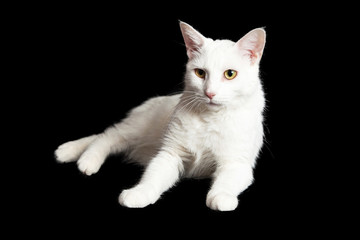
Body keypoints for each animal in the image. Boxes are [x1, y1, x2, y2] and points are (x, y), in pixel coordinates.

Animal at [55, 21, 264, 211]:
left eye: (230, 74)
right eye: (200, 73)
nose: (210, 93)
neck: (209, 119)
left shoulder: (237, 163)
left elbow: (227, 182)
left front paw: (221, 198)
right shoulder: (170, 154)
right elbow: (153, 177)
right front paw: (139, 193)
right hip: (137, 128)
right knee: (106, 136)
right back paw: (85, 159)